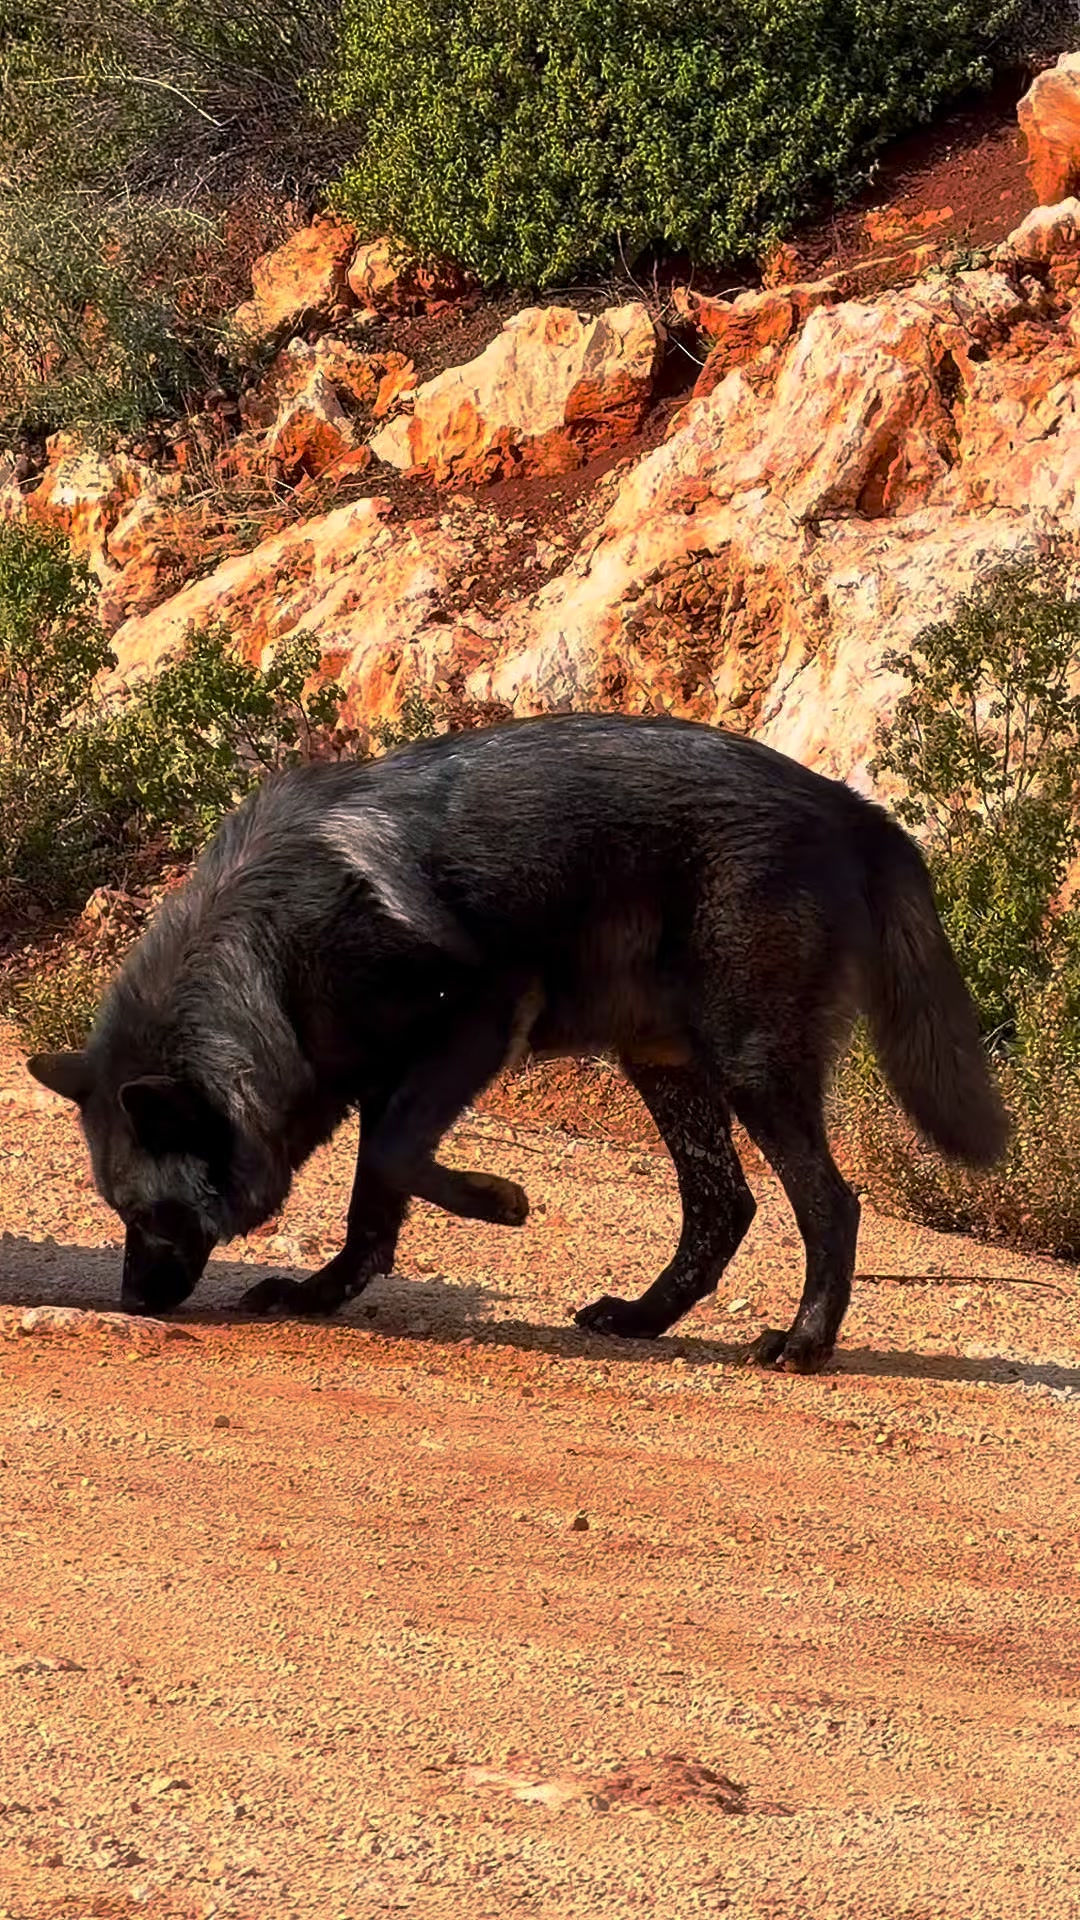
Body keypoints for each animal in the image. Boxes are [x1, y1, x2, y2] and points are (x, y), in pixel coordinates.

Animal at [27, 712, 1007, 1372]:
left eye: (151, 1216)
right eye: (118, 1214)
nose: (130, 1303)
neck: (268, 954)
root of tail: (852, 806)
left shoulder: (481, 1016)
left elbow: (394, 1156)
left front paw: (498, 1201)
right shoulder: (377, 1074)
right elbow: (372, 1203)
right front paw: (319, 1294)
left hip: (752, 1067)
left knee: (829, 1205)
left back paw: (804, 1342)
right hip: (665, 1067)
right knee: (723, 1207)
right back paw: (644, 1319)